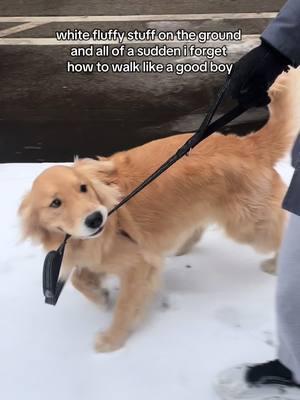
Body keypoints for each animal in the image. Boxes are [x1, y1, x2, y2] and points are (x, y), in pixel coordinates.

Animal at [18, 69, 300, 354]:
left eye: (83, 188)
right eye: (55, 203)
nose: (96, 218)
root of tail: (248, 145)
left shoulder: (138, 264)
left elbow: (124, 306)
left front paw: (112, 339)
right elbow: (79, 278)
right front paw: (99, 296)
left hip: (248, 226)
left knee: (279, 233)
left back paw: (276, 264)